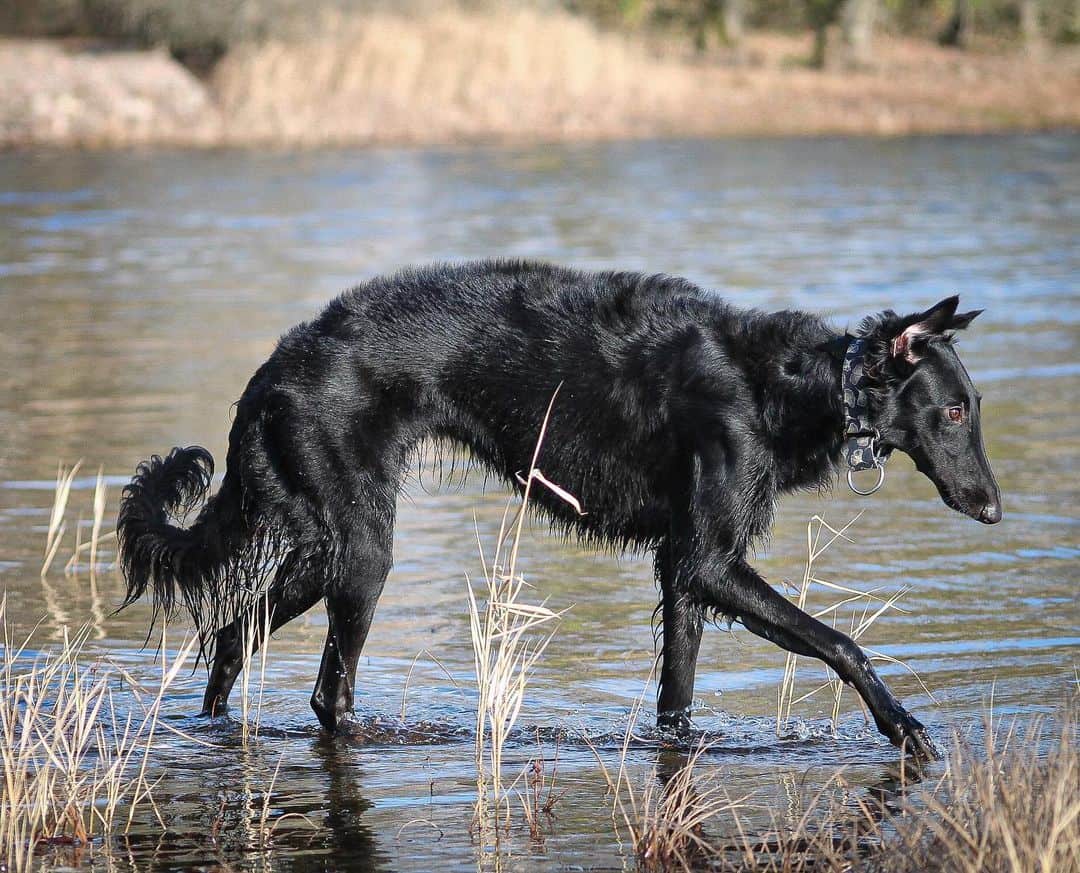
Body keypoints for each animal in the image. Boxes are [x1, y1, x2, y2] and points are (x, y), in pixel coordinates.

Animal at [113, 259, 997, 756]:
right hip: (361, 557)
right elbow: (842, 642)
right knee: (326, 691)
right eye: (953, 410)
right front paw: (903, 725)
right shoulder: (710, 561)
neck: (779, 384)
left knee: (231, 635)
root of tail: (278, 362)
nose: (991, 508)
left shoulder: (685, 574)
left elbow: (676, 701)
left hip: (323, 548)